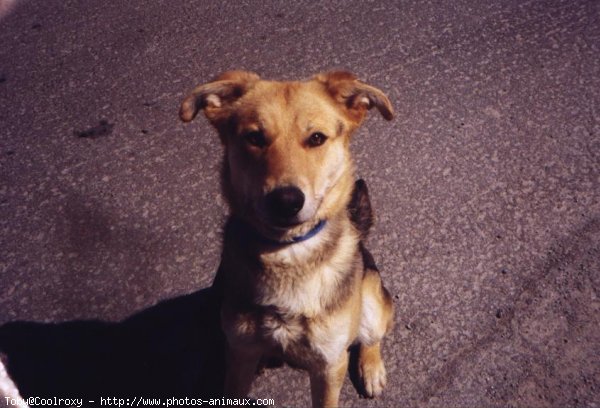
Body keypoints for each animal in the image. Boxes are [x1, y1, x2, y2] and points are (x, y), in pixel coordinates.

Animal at [180, 71, 396, 406]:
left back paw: (371, 368)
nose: (286, 201)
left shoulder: (329, 366)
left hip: (372, 300)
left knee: (372, 336)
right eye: (254, 138)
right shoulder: (239, 354)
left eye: (317, 138)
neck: (288, 253)